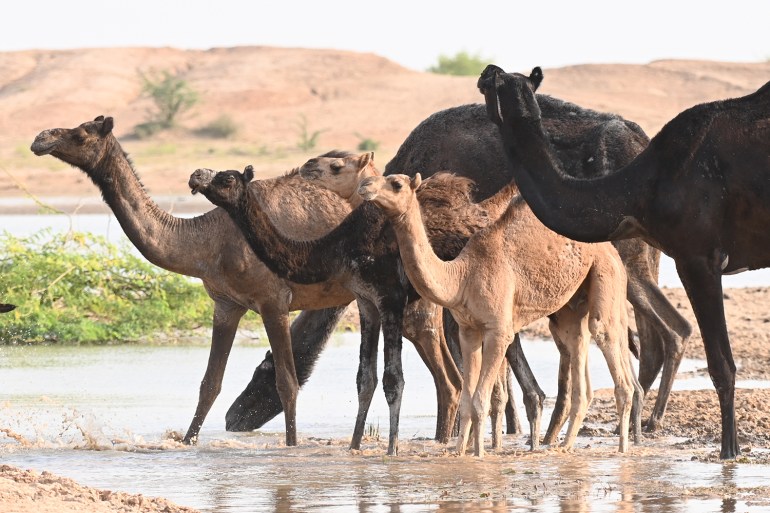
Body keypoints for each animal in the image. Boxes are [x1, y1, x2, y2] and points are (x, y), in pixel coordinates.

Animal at [356, 173, 640, 456]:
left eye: (396, 184)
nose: (365, 186)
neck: (461, 276)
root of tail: (612, 249)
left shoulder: (498, 331)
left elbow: (481, 399)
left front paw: (480, 454)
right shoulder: (468, 330)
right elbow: (468, 400)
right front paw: (460, 453)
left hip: (605, 274)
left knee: (608, 344)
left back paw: (623, 448)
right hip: (572, 304)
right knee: (576, 345)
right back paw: (565, 446)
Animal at [384, 90, 688, 434]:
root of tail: (640, 139)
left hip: (628, 263)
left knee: (672, 331)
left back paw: (645, 420)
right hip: (642, 261)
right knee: (652, 340)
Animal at [476, 64, 768, 460]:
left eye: (492, 84)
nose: (486, 71)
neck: (638, 191)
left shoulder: (698, 256)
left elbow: (722, 365)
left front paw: (730, 454)